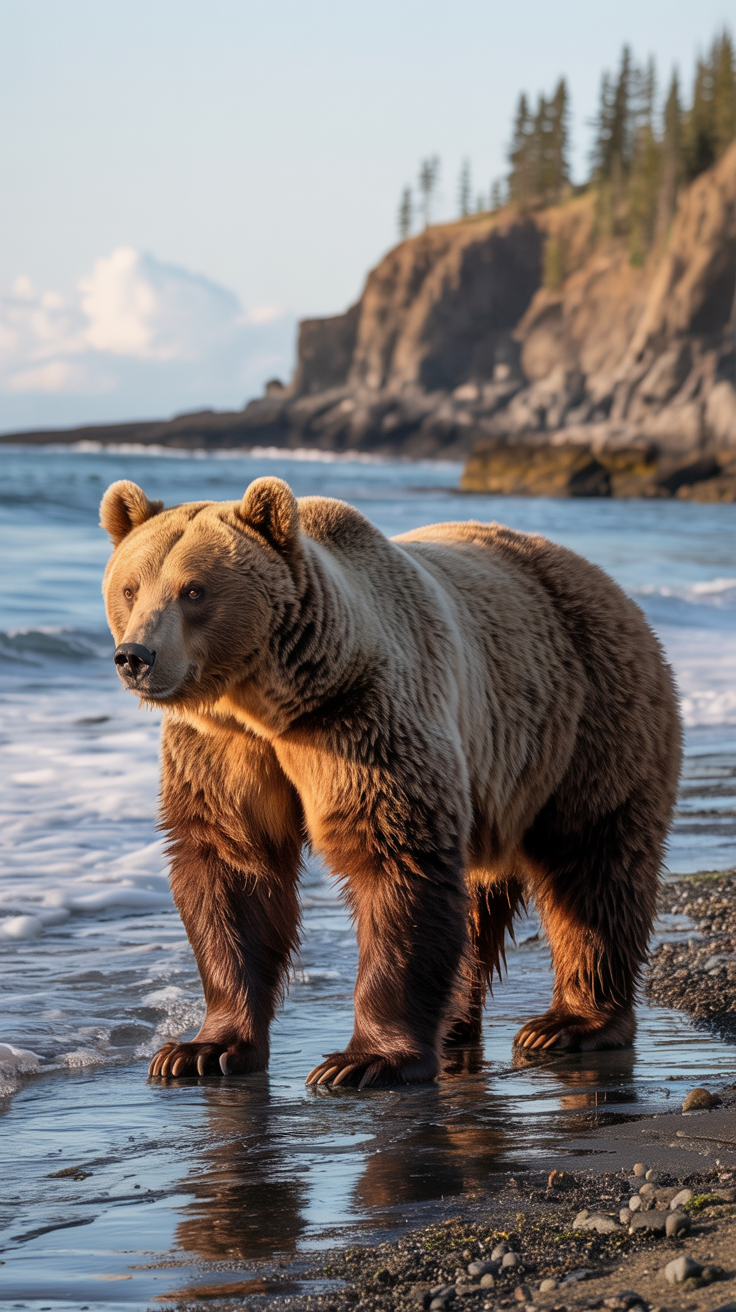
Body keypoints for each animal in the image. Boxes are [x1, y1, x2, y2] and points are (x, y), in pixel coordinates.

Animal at [100, 475, 682, 1087]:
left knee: (593, 866)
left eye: (194, 591)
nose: (135, 656)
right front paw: (199, 1050)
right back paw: (457, 1023)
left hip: (586, 720)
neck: (266, 702)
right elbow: (231, 866)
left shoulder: (361, 717)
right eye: (130, 588)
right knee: (482, 897)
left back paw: (570, 1023)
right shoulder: (223, 750)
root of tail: (610, 585)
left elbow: (392, 856)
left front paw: (363, 1060)